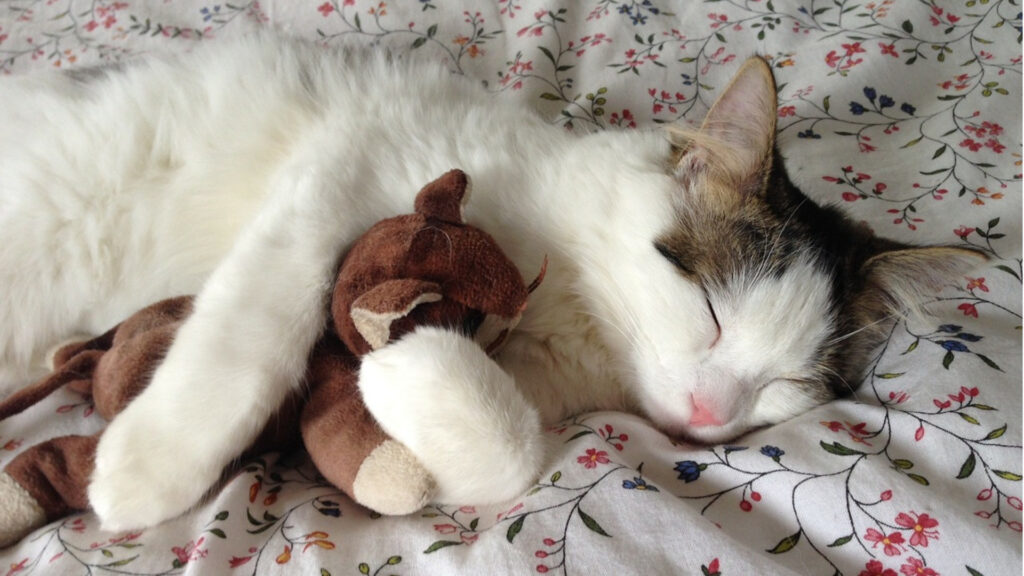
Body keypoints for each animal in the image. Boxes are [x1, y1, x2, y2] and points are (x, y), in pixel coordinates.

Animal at [0, 35, 978, 528]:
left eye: (786, 388)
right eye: (709, 312)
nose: (709, 417)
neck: (574, 314)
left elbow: (505, 454)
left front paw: (402, 368)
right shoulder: (344, 174)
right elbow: (248, 338)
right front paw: (148, 468)